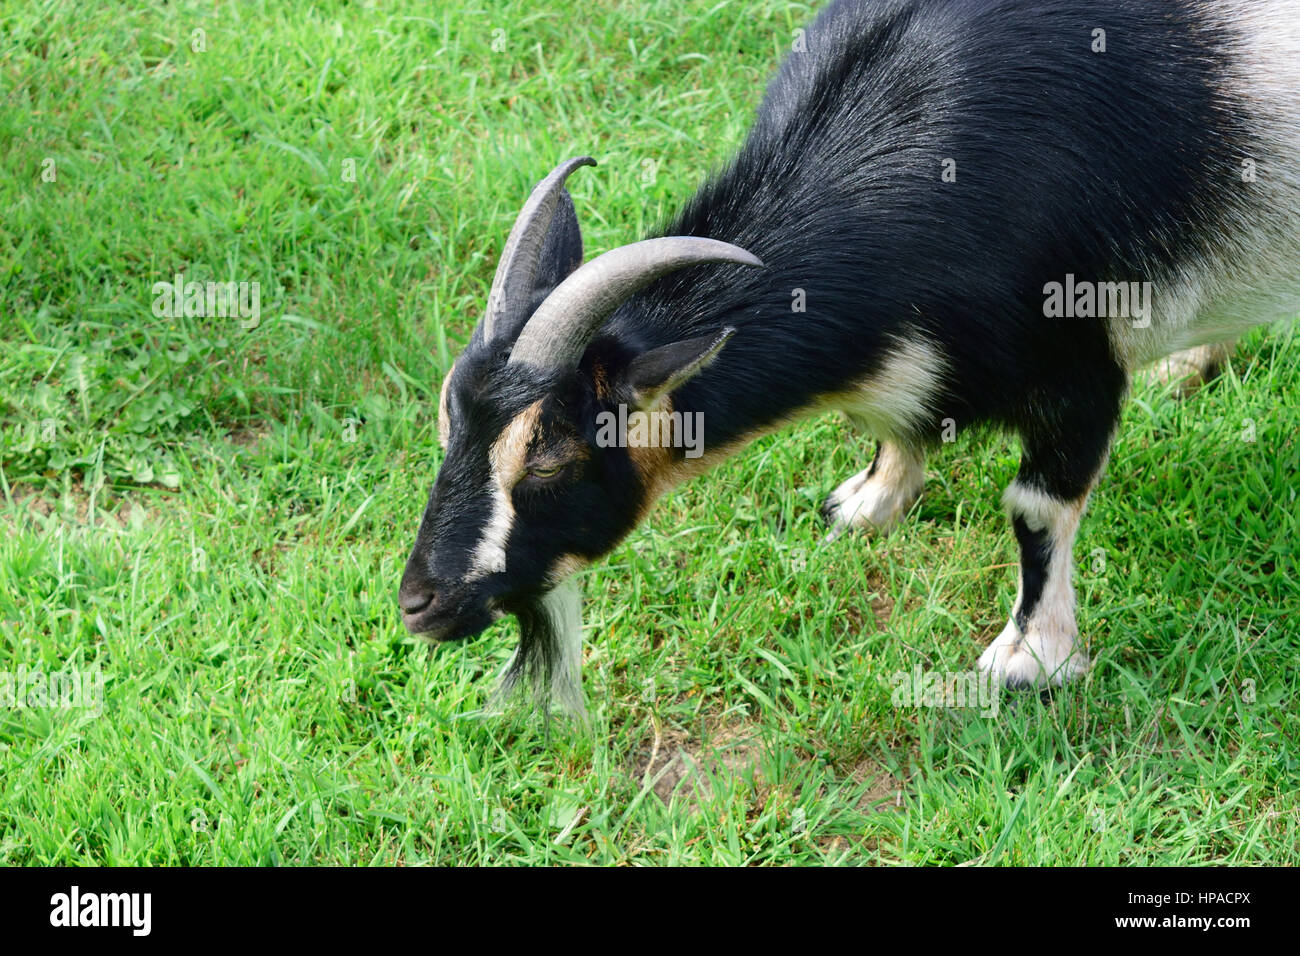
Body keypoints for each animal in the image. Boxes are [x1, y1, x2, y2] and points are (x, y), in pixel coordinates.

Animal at [395, 0, 1300, 712]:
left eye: (549, 455)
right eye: (449, 422)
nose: (418, 602)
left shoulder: (1077, 361)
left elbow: (1036, 509)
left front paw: (1029, 660)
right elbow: (894, 427)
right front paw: (869, 502)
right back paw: (1194, 362)